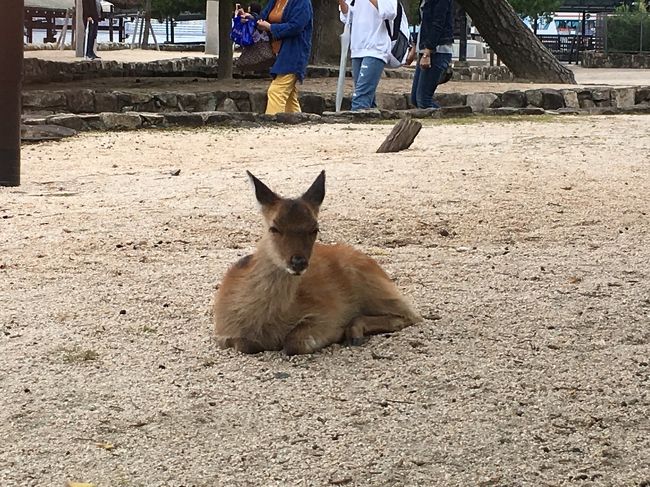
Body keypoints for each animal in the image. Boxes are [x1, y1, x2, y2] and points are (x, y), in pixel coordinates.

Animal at [210, 172, 418, 354]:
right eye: (274, 228)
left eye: (315, 228)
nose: (298, 262)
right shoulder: (223, 332)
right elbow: (245, 344)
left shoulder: (328, 312)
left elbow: (295, 343)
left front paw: (337, 333)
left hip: (375, 286)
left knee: (411, 314)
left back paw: (354, 334)